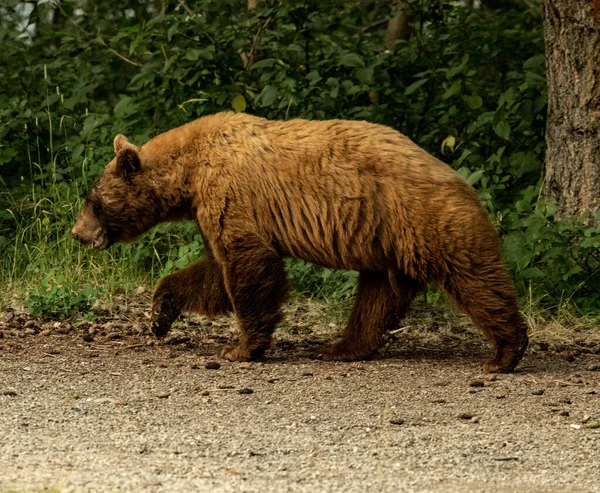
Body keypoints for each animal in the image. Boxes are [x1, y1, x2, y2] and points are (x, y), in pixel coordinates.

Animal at [71, 111, 528, 370]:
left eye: (94, 201)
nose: (77, 232)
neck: (187, 170)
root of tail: (458, 178)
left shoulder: (229, 193)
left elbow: (247, 263)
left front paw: (241, 348)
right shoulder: (209, 206)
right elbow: (214, 271)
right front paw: (160, 312)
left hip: (426, 220)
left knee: (475, 278)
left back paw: (506, 352)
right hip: (385, 241)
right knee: (377, 297)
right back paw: (343, 347)